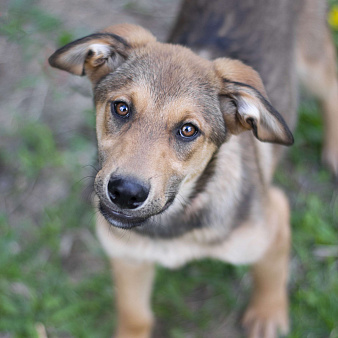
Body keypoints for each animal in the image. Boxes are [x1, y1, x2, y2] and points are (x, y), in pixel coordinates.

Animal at [48, 1, 336, 336]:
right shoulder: (127, 257)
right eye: (121, 108)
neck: (172, 223)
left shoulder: (273, 221)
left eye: (188, 130)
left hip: (313, 56)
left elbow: (271, 275)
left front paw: (268, 315)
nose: (125, 193)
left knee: (331, 84)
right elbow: (135, 316)